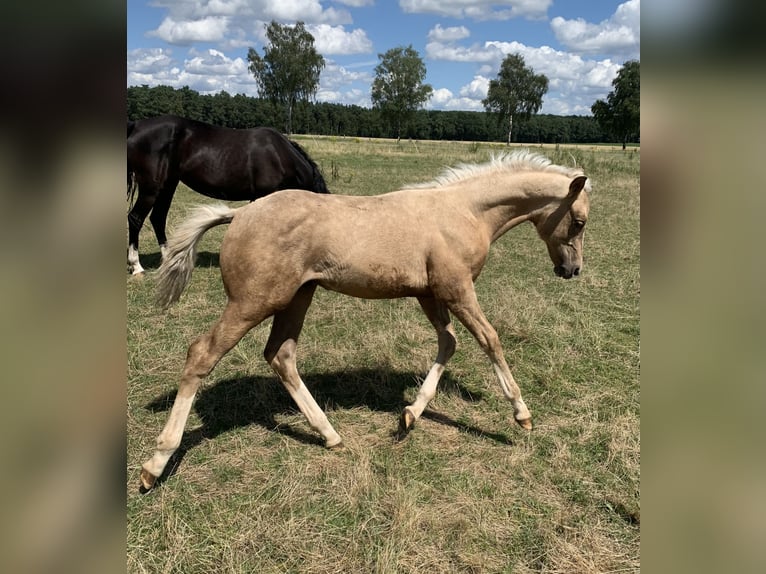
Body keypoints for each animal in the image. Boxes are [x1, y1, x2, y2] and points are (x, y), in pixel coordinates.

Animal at [127, 116, 330, 276]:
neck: (280, 156)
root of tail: (136, 126)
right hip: (151, 188)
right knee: (136, 218)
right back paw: (137, 267)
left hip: (168, 185)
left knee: (158, 218)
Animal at [140, 150, 592, 490]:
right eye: (580, 221)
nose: (572, 271)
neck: (463, 212)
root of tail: (237, 216)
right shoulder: (457, 290)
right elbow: (489, 340)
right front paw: (522, 415)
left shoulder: (430, 294)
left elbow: (448, 343)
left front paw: (409, 416)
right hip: (254, 301)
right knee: (202, 353)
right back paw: (155, 465)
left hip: (297, 298)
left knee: (280, 355)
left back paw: (330, 435)